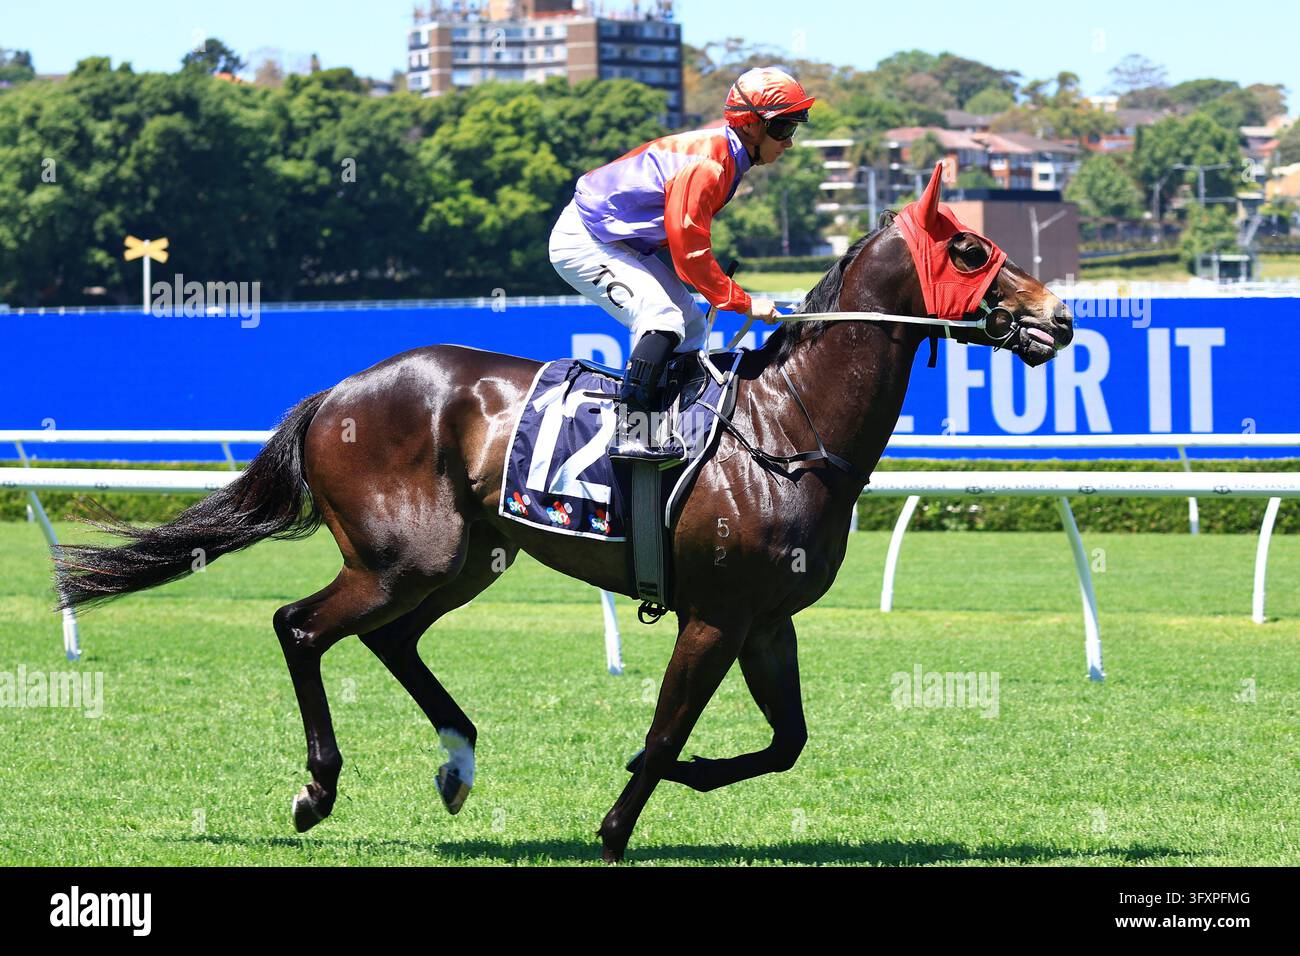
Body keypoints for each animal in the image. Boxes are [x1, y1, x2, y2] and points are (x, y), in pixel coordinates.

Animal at [54, 182, 1073, 863]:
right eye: (972, 252)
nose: (1059, 319)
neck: (785, 427)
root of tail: (335, 392)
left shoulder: (765, 619)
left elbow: (785, 745)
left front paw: (687, 778)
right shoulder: (715, 614)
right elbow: (666, 729)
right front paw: (617, 827)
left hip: (466, 557)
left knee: (392, 640)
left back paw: (457, 763)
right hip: (404, 558)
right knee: (299, 626)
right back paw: (317, 789)